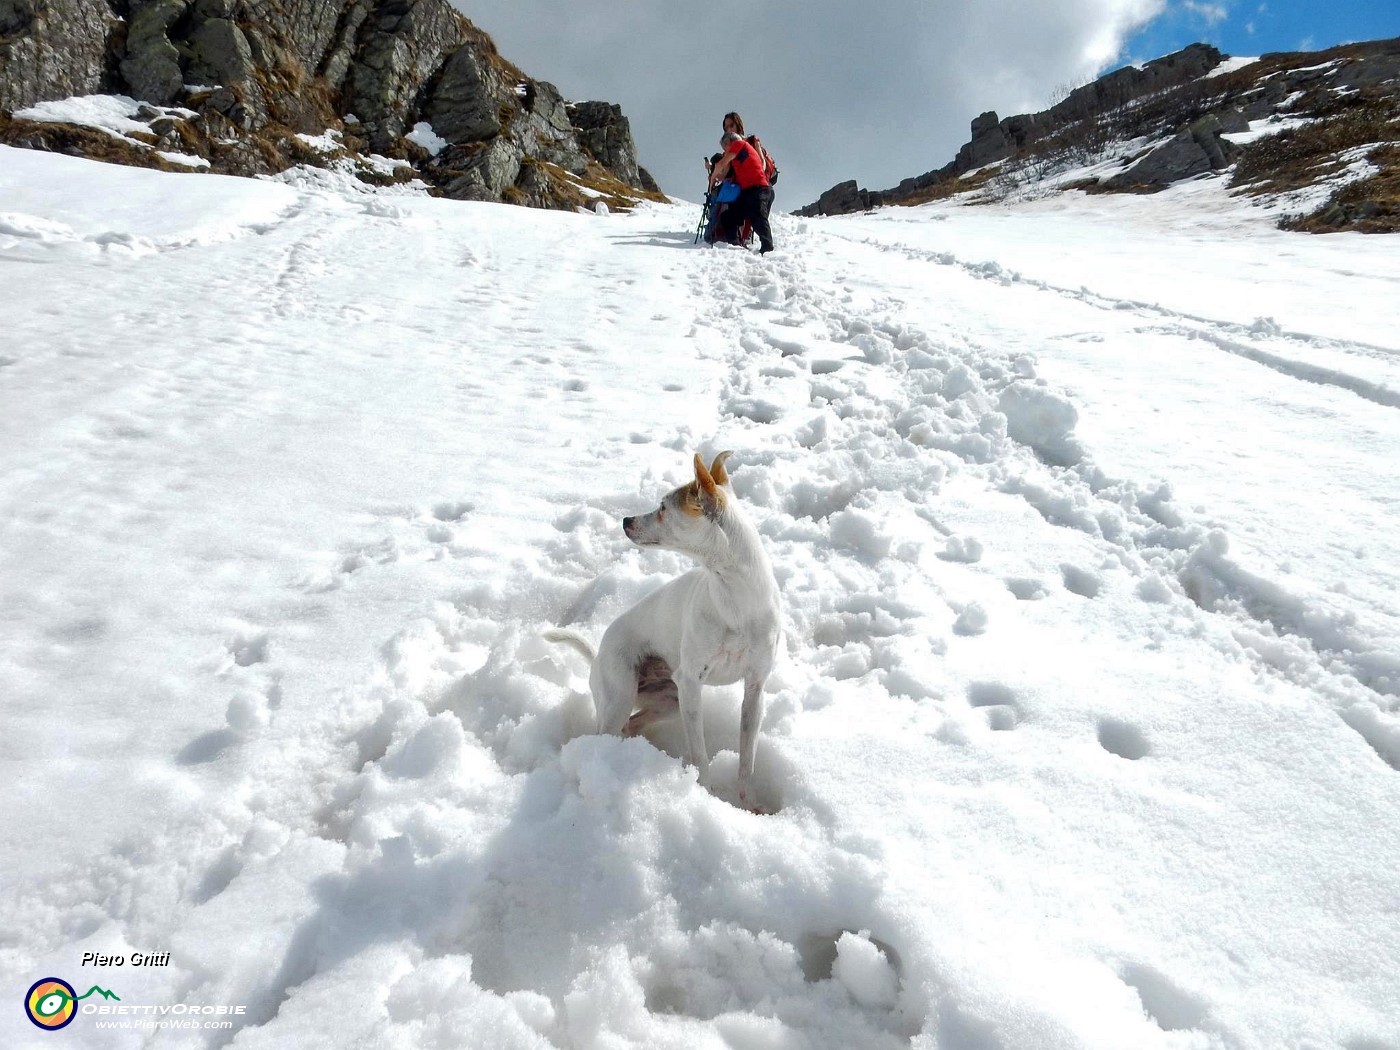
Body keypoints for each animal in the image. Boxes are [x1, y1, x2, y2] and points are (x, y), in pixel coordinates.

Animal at [548, 450, 789, 806]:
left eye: (663, 507)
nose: (625, 520)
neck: (735, 601)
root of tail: (597, 656)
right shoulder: (691, 683)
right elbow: (700, 754)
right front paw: (706, 793)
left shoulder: (755, 688)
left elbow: (747, 758)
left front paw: (749, 805)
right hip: (621, 696)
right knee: (608, 730)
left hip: (668, 700)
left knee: (632, 726)